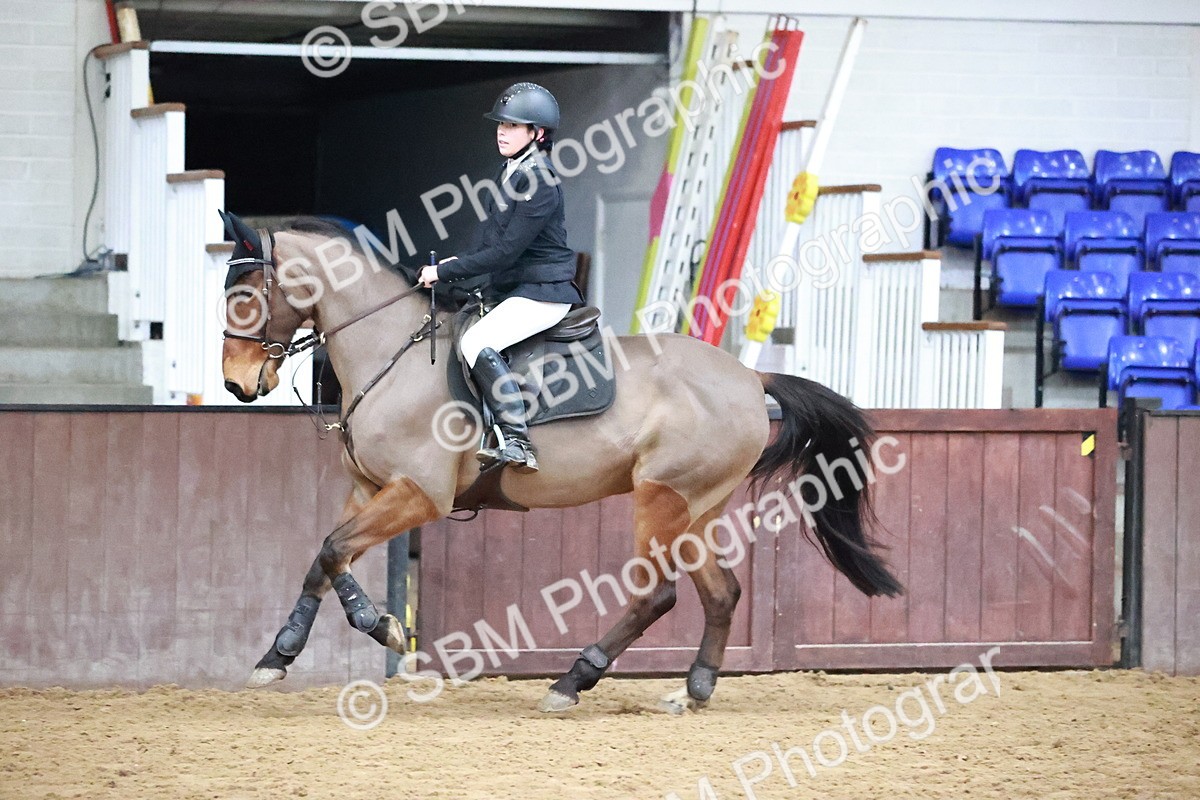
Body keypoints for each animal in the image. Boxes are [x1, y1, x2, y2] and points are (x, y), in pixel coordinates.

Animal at [218, 212, 902, 712]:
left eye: (247, 295)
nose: (236, 385)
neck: (394, 352)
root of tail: (748, 376)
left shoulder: (418, 494)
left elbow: (334, 550)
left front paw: (377, 627)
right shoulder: (370, 489)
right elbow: (324, 556)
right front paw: (282, 655)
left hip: (661, 501)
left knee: (658, 596)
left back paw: (573, 681)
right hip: (696, 510)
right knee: (722, 593)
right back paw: (693, 689)